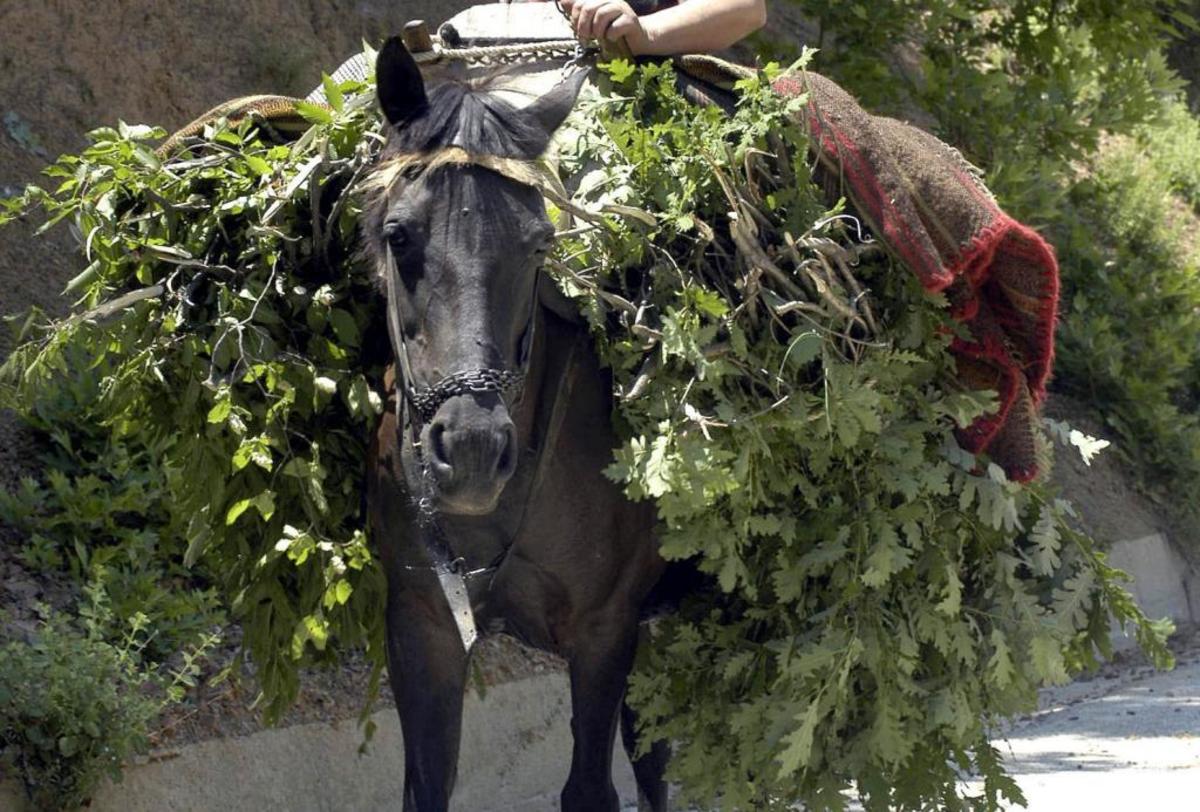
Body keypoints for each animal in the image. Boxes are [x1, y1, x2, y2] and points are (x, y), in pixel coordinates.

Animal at [360, 34, 681, 806]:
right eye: (398, 235)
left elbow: (589, 791)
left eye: (539, 243)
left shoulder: (604, 632)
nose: (473, 451)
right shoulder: (424, 626)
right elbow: (427, 789)